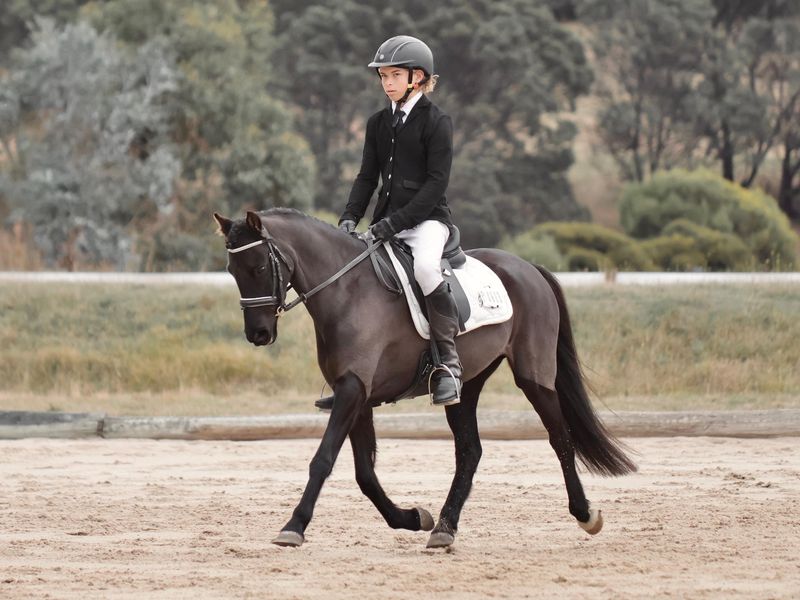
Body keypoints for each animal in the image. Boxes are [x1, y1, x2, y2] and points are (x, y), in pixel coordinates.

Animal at [213, 208, 636, 549]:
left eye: (259, 267)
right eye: (233, 271)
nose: (258, 334)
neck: (346, 291)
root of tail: (529, 267)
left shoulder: (352, 391)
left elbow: (324, 460)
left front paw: (294, 526)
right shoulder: (356, 393)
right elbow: (365, 474)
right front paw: (413, 517)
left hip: (534, 375)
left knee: (560, 438)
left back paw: (585, 514)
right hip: (466, 384)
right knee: (470, 451)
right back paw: (444, 528)